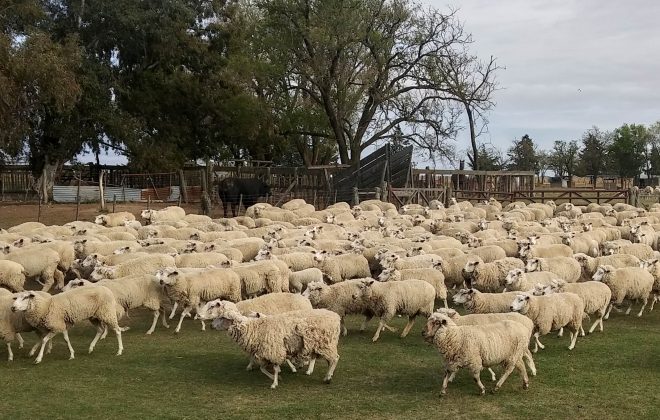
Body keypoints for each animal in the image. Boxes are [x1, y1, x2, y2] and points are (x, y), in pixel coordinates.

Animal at [199, 302, 340, 388]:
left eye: (222, 318)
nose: (211, 326)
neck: (254, 328)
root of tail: (335, 316)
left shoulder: (274, 350)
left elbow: (275, 368)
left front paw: (274, 383)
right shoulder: (265, 353)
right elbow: (263, 369)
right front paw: (277, 378)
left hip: (325, 344)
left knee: (334, 359)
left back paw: (328, 377)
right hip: (319, 345)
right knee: (327, 360)